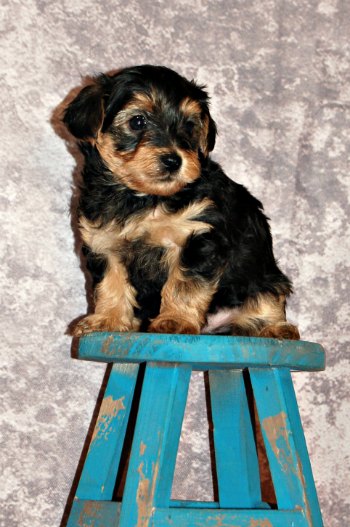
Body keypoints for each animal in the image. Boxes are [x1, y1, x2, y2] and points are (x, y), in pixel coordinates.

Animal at [63, 66, 298, 340]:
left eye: (189, 126)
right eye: (138, 121)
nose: (174, 160)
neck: (143, 197)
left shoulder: (197, 236)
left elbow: (184, 284)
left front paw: (175, 320)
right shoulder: (104, 243)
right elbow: (111, 284)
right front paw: (106, 320)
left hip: (264, 277)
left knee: (267, 300)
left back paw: (276, 328)